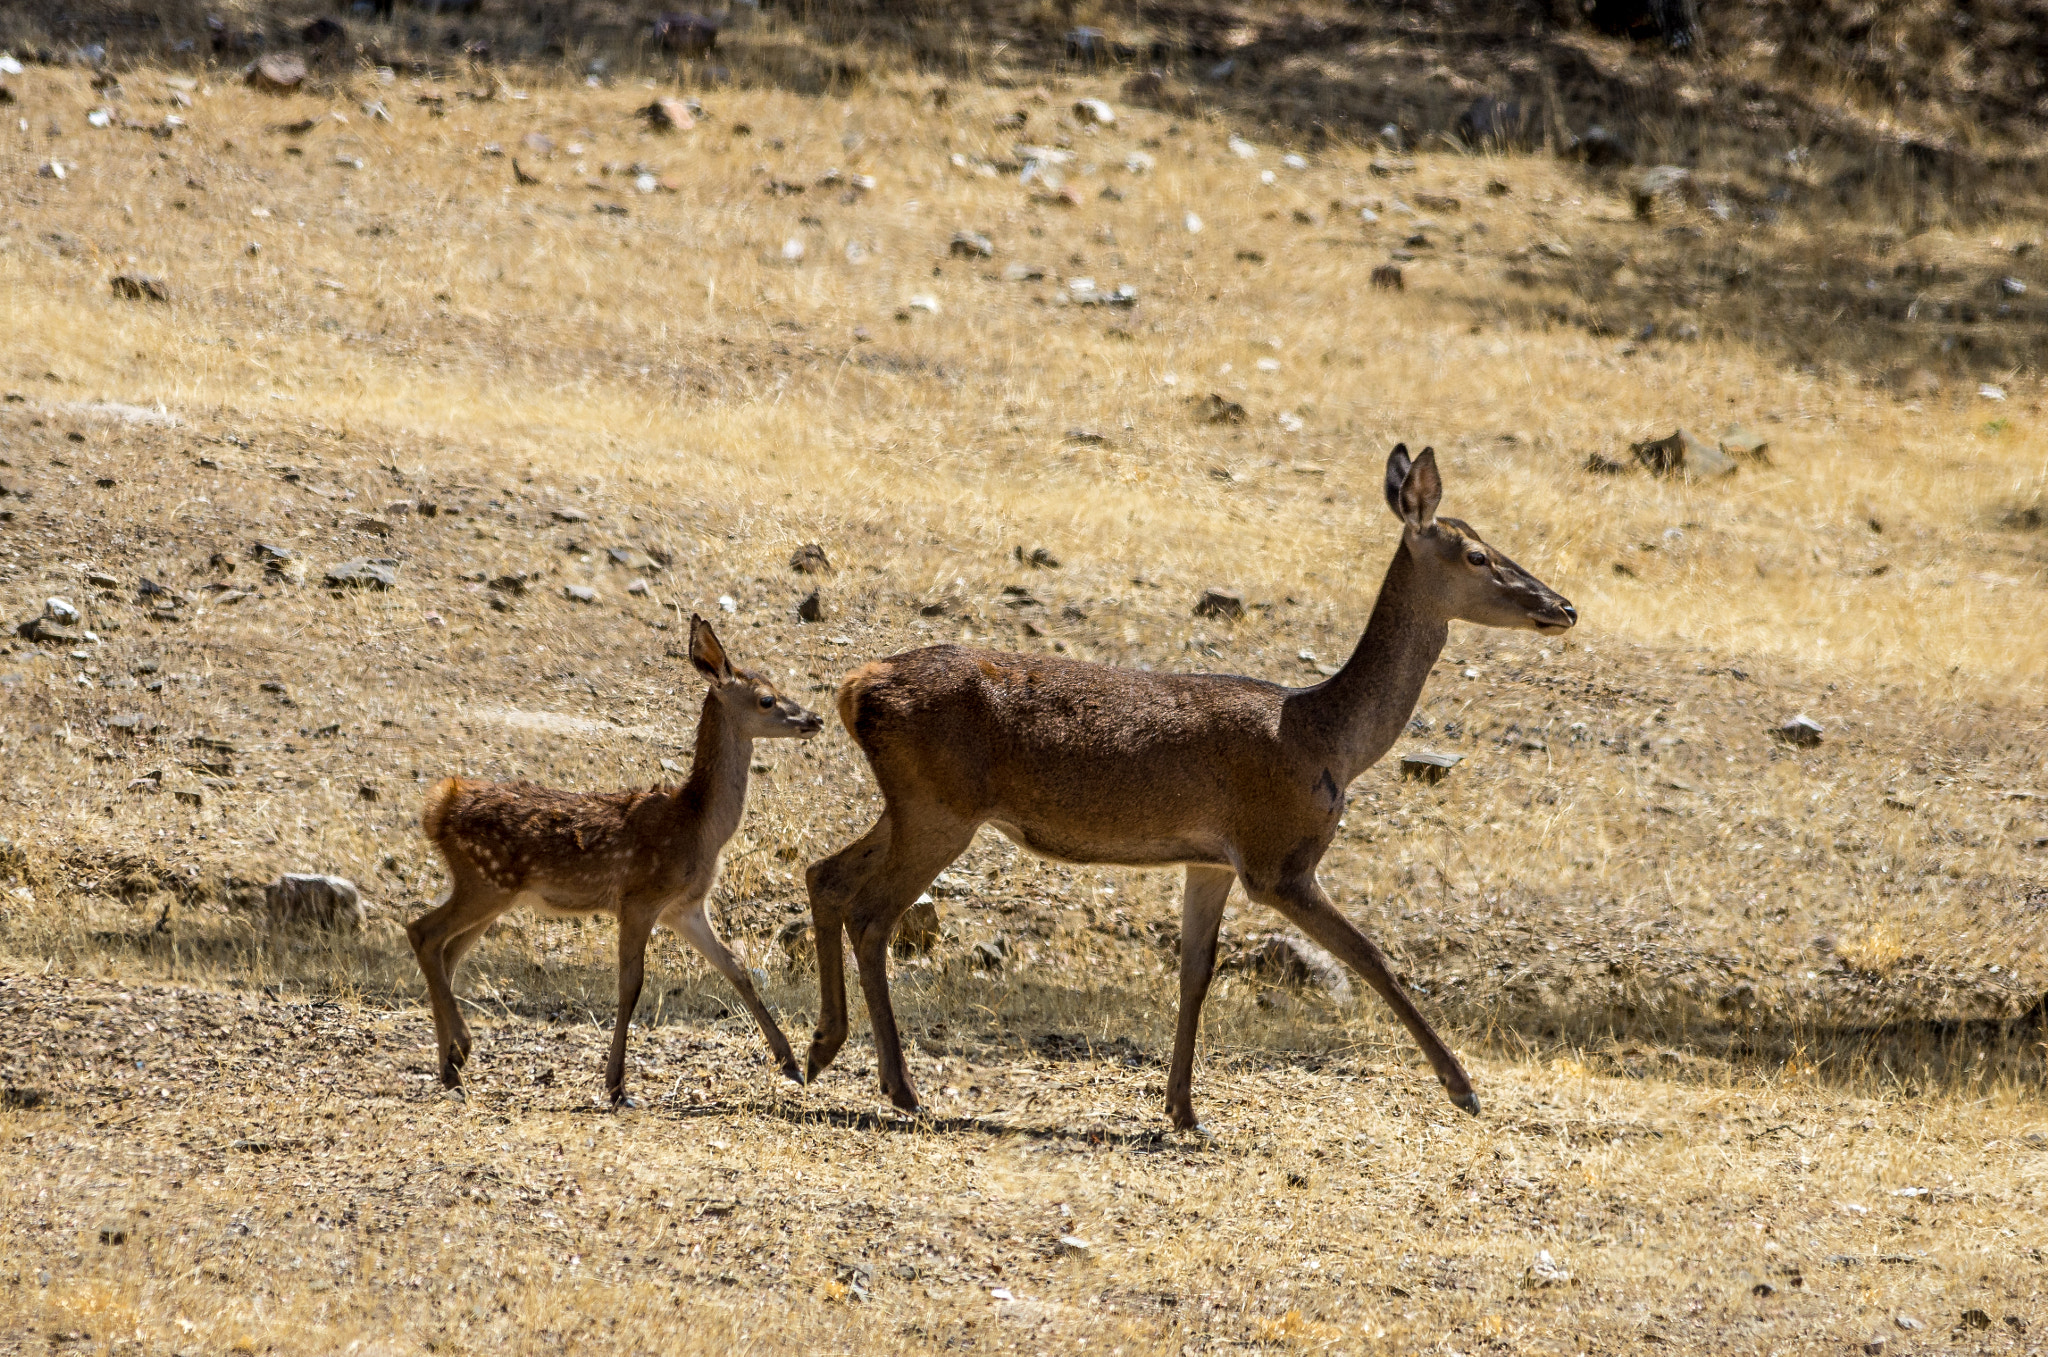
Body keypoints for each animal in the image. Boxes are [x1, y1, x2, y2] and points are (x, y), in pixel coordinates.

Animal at [407, 614, 823, 1105]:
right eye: (766, 699)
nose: (815, 718)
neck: (698, 826)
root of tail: (439, 808)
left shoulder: (685, 907)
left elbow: (737, 968)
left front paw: (791, 1064)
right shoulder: (639, 897)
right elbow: (631, 984)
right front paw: (617, 1085)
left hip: (493, 891)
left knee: (448, 951)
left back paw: (450, 1064)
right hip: (485, 881)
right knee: (423, 933)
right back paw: (459, 1053)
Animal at [798, 450, 1564, 1129]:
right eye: (1477, 555)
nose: (1563, 607)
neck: (1330, 742)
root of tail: (854, 688)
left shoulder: (1211, 859)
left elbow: (1195, 971)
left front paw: (1183, 1109)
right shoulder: (1276, 857)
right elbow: (1369, 954)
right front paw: (1463, 1088)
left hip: (914, 805)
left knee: (825, 874)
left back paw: (816, 1050)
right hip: (940, 807)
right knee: (871, 911)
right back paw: (898, 1086)